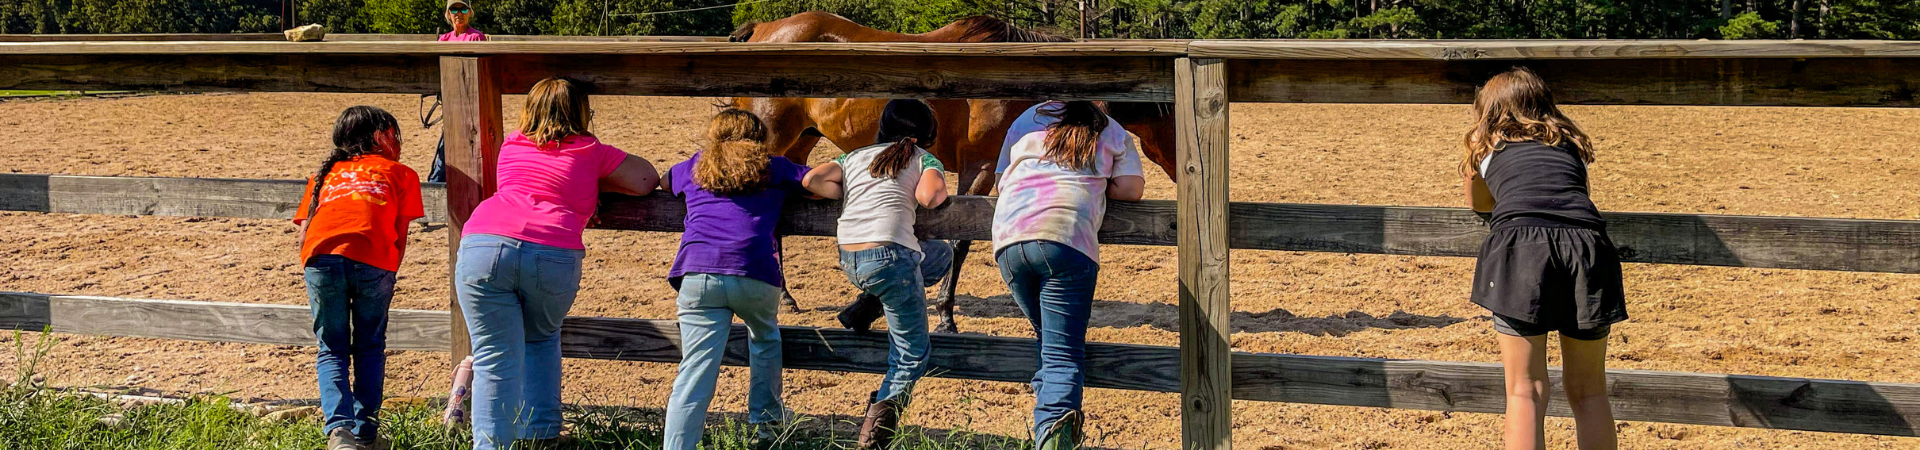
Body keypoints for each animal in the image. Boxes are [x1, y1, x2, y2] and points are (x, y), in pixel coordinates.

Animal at [733, 11, 1182, 334]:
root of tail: (763, 30)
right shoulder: (979, 167)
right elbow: (961, 239)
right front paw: (946, 315)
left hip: (800, 143)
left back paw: (785, 296)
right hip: (774, 144)